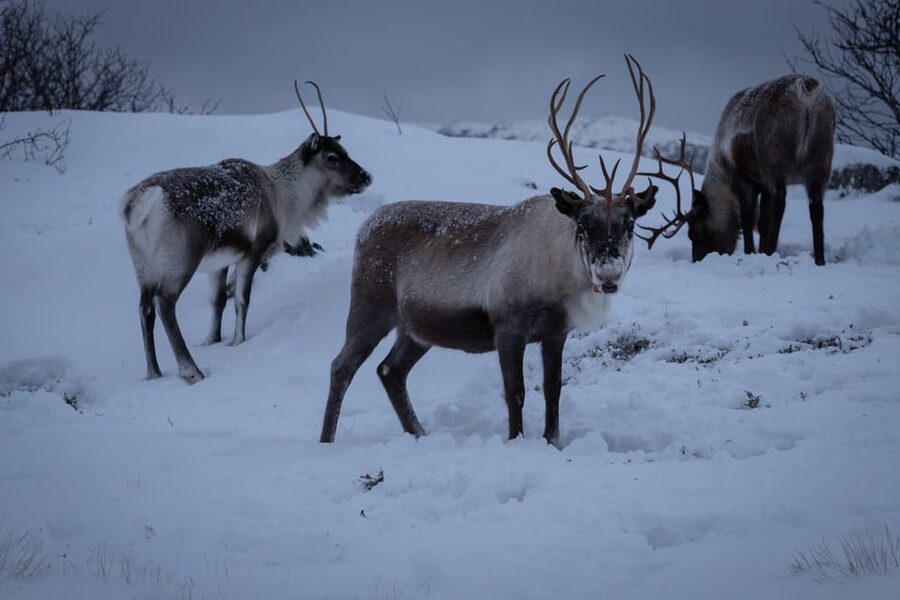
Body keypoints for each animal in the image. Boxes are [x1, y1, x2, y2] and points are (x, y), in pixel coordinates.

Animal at [120, 81, 372, 383]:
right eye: (332, 157)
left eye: (345, 150)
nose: (366, 176)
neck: (282, 199)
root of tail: (140, 201)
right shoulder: (254, 251)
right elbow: (242, 300)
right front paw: (238, 342)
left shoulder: (219, 262)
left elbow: (217, 301)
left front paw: (212, 340)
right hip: (179, 259)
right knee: (165, 304)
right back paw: (191, 370)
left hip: (141, 263)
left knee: (145, 308)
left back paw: (153, 372)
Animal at [319, 55, 660, 447]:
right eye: (583, 224)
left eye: (630, 224)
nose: (608, 275)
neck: (559, 275)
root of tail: (365, 226)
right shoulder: (508, 325)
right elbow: (516, 392)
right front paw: (516, 441)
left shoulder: (556, 331)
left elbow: (554, 390)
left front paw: (552, 442)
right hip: (371, 306)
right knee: (342, 366)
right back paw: (326, 441)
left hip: (415, 329)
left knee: (390, 370)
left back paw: (419, 433)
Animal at [637, 74, 835, 265]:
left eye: (693, 233)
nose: (697, 260)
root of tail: (806, 90)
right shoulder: (762, 184)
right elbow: (762, 222)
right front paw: (760, 251)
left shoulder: (740, 175)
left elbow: (747, 217)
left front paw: (751, 252)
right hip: (821, 159)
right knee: (816, 207)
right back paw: (820, 260)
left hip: (774, 156)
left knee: (781, 201)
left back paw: (772, 252)